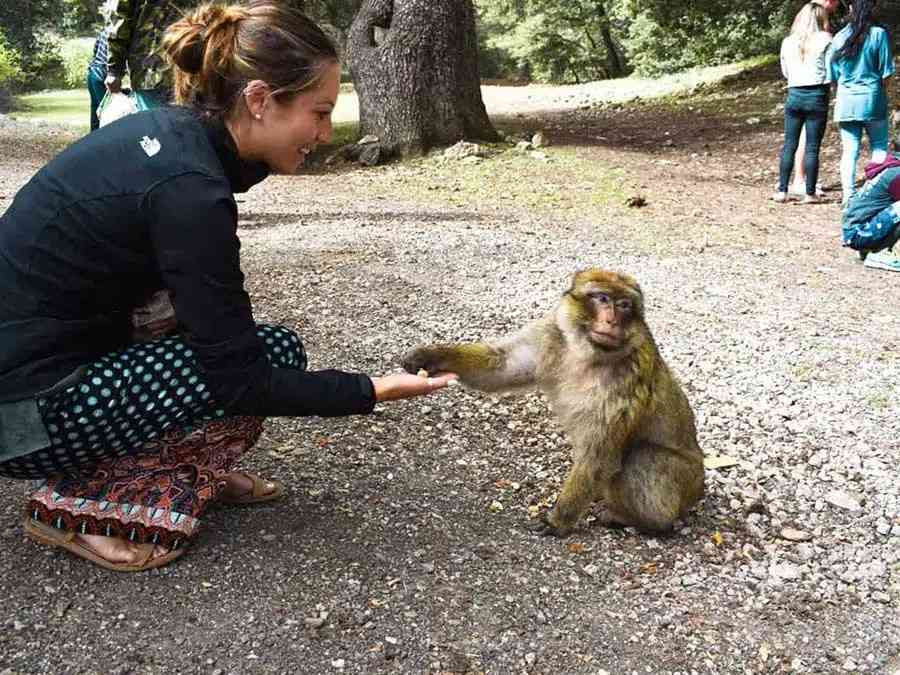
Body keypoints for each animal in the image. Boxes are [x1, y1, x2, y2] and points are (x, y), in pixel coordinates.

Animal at [402, 268, 704, 536]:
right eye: (602, 299)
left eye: (624, 305)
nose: (612, 321)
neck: (588, 353)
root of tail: (698, 489)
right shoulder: (550, 333)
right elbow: (501, 366)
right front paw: (431, 356)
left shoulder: (628, 379)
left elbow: (599, 455)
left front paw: (559, 521)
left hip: (685, 483)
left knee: (643, 456)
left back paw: (642, 522)